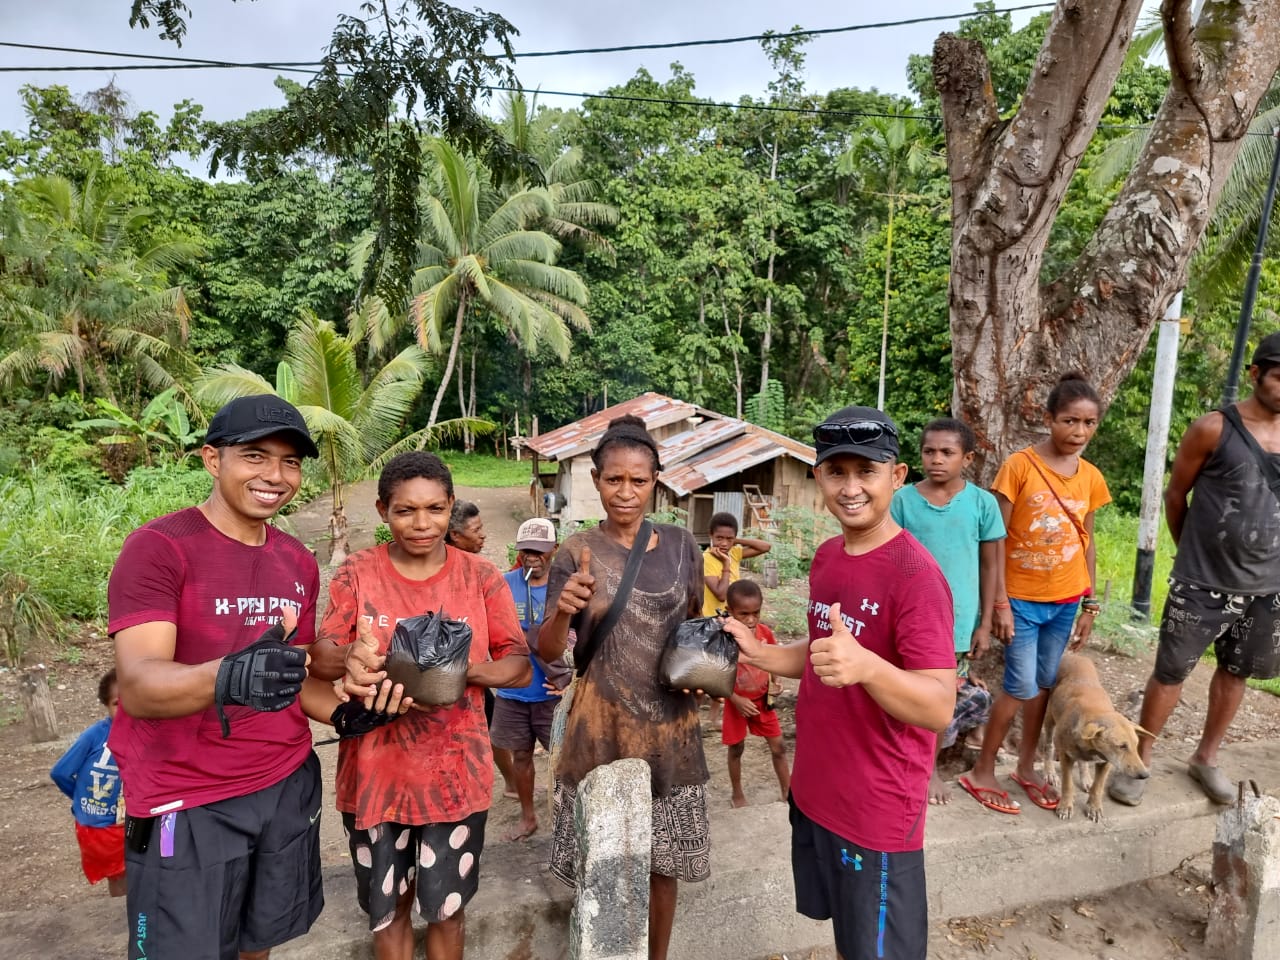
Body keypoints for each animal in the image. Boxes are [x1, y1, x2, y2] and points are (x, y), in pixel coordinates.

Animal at [1039, 650, 1152, 824]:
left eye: (1136, 745)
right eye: (1122, 746)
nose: (1144, 775)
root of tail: (1072, 654)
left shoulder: (1106, 762)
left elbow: (1098, 787)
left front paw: (1094, 807)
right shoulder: (1065, 756)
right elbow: (1067, 784)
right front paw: (1065, 806)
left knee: (1083, 762)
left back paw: (1086, 778)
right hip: (1050, 718)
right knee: (1048, 746)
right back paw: (1050, 772)